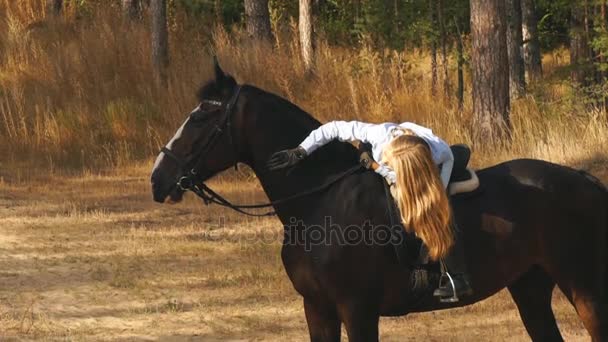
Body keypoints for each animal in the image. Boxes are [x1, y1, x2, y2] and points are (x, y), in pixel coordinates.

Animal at [148, 62, 608, 342]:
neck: (319, 202)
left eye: (201, 117)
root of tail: (583, 179)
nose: (158, 179)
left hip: (583, 286)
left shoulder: (358, 310)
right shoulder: (318, 309)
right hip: (530, 285)